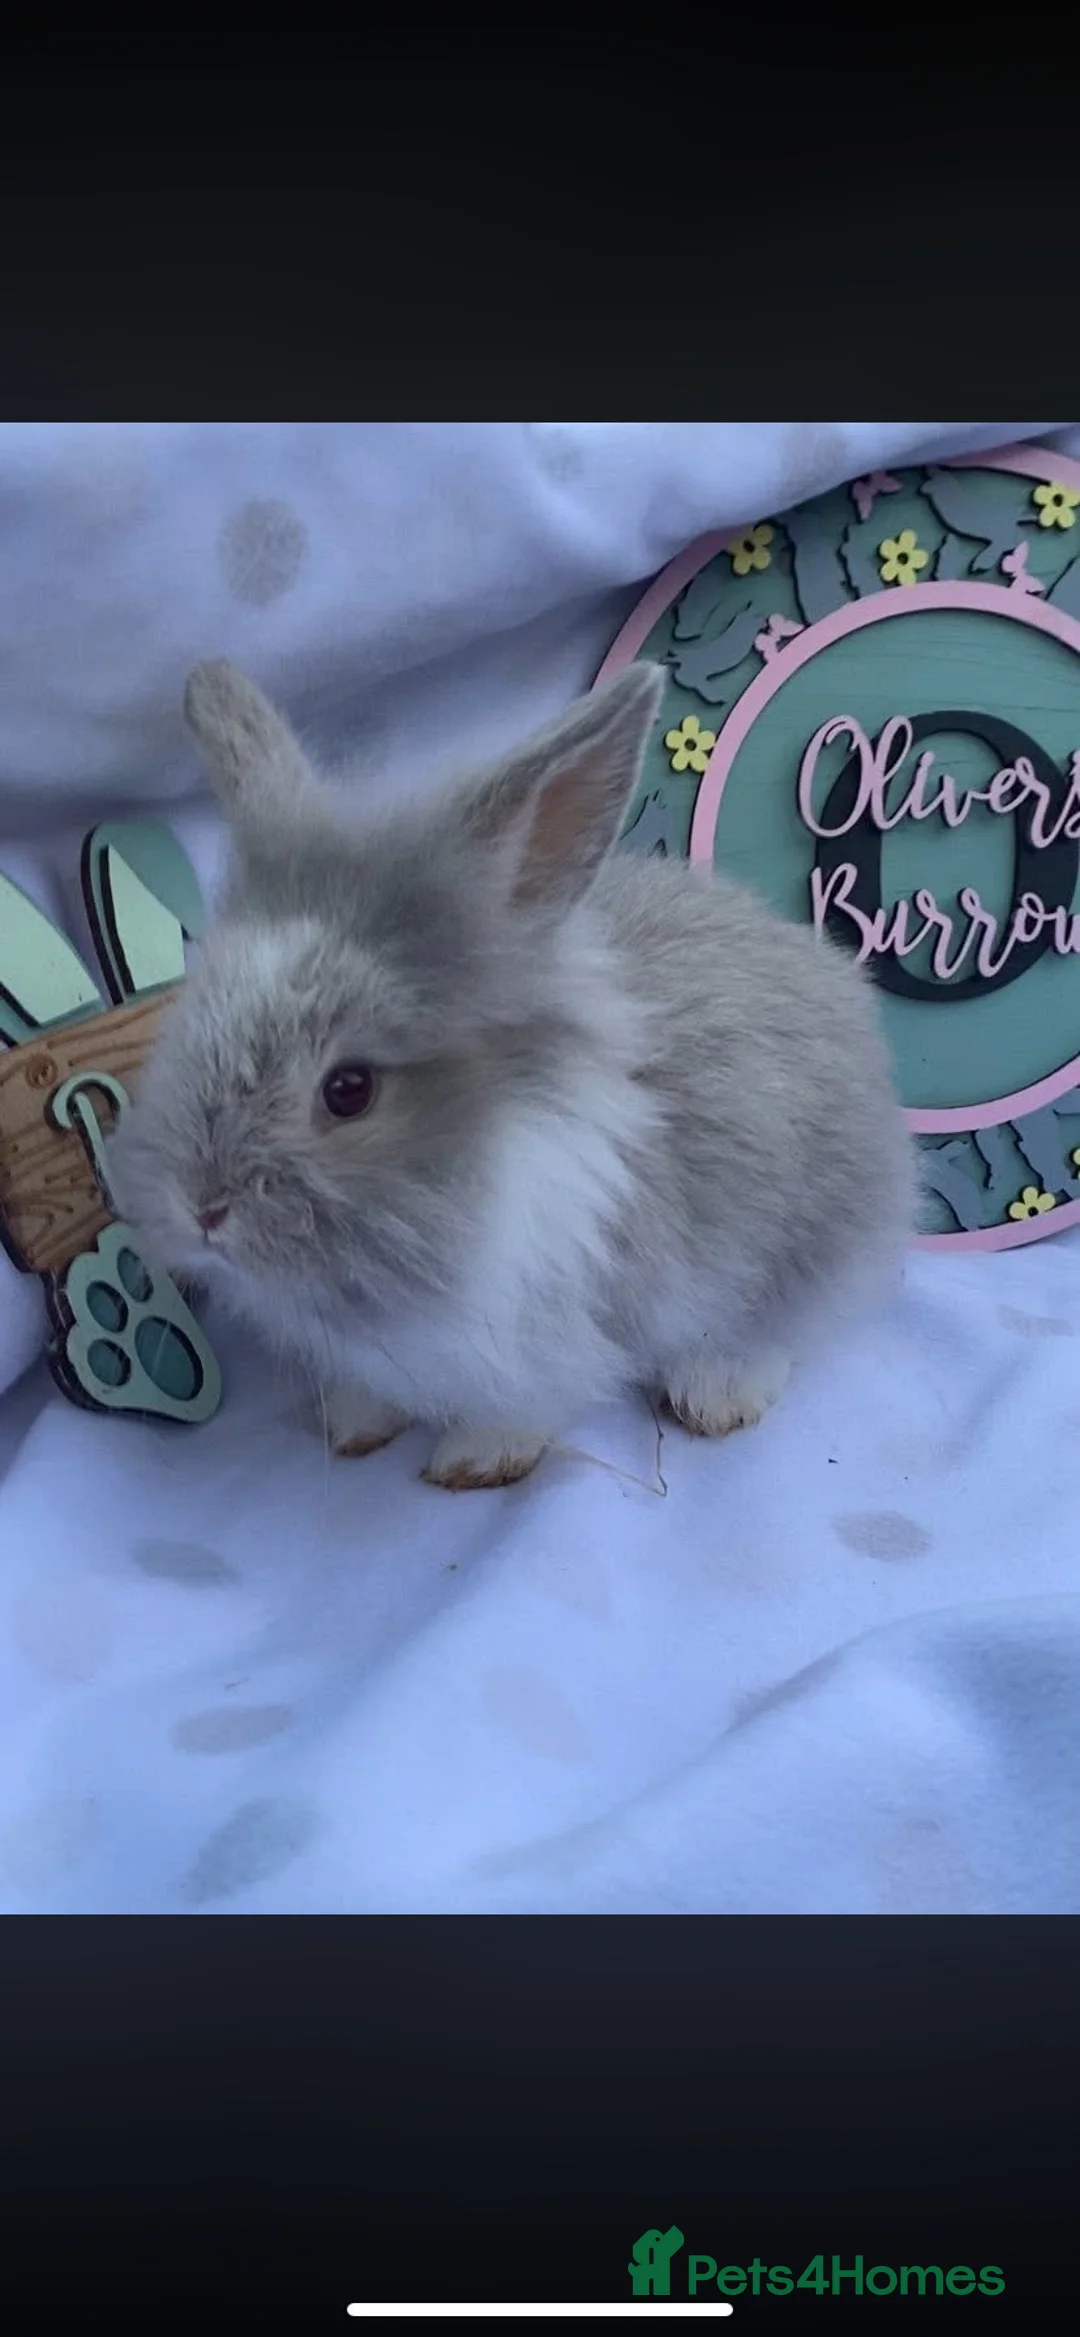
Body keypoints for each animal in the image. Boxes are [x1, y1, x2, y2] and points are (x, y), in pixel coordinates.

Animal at [107, 657, 914, 1491]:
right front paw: (355, 1427)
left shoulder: (546, 1337)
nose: (201, 1208)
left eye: (349, 1090)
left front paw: (472, 1462)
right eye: (186, 1023)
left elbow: (524, 1405)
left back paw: (712, 1392)